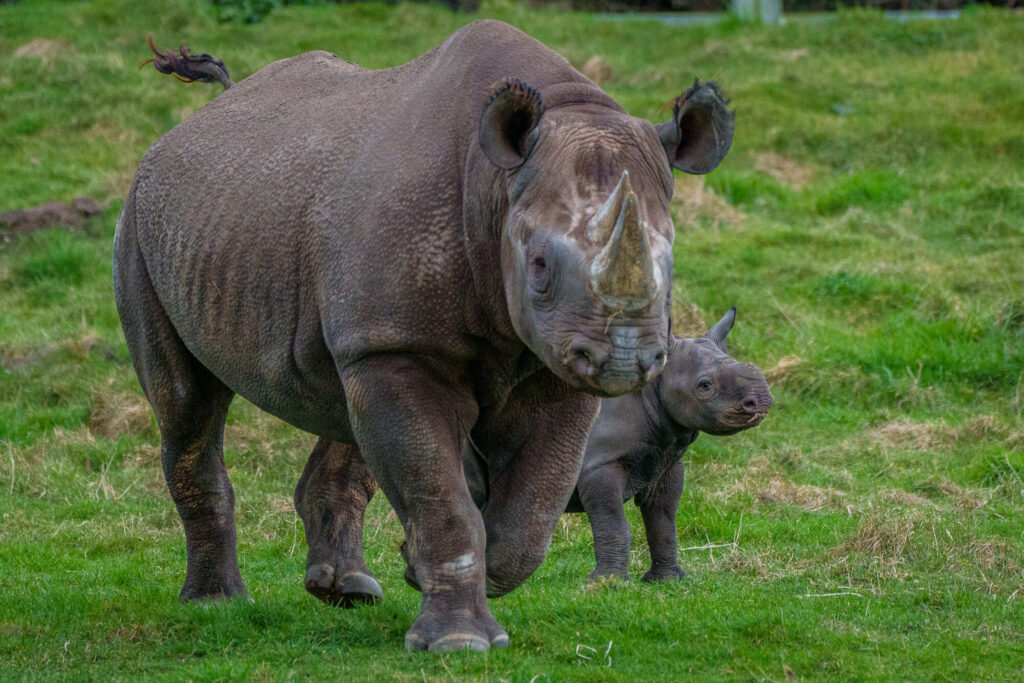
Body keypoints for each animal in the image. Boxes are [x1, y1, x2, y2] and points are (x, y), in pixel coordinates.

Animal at [116, 20, 734, 652]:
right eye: (538, 266)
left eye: (669, 262)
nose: (626, 360)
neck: (495, 185)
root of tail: (199, 120)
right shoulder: (403, 342)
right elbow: (440, 494)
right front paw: (456, 642)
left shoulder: (550, 360)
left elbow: (532, 508)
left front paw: (421, 570)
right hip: (142, 220)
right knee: (188, 405)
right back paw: (216, 605)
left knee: (343, 398)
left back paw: (345, 591)